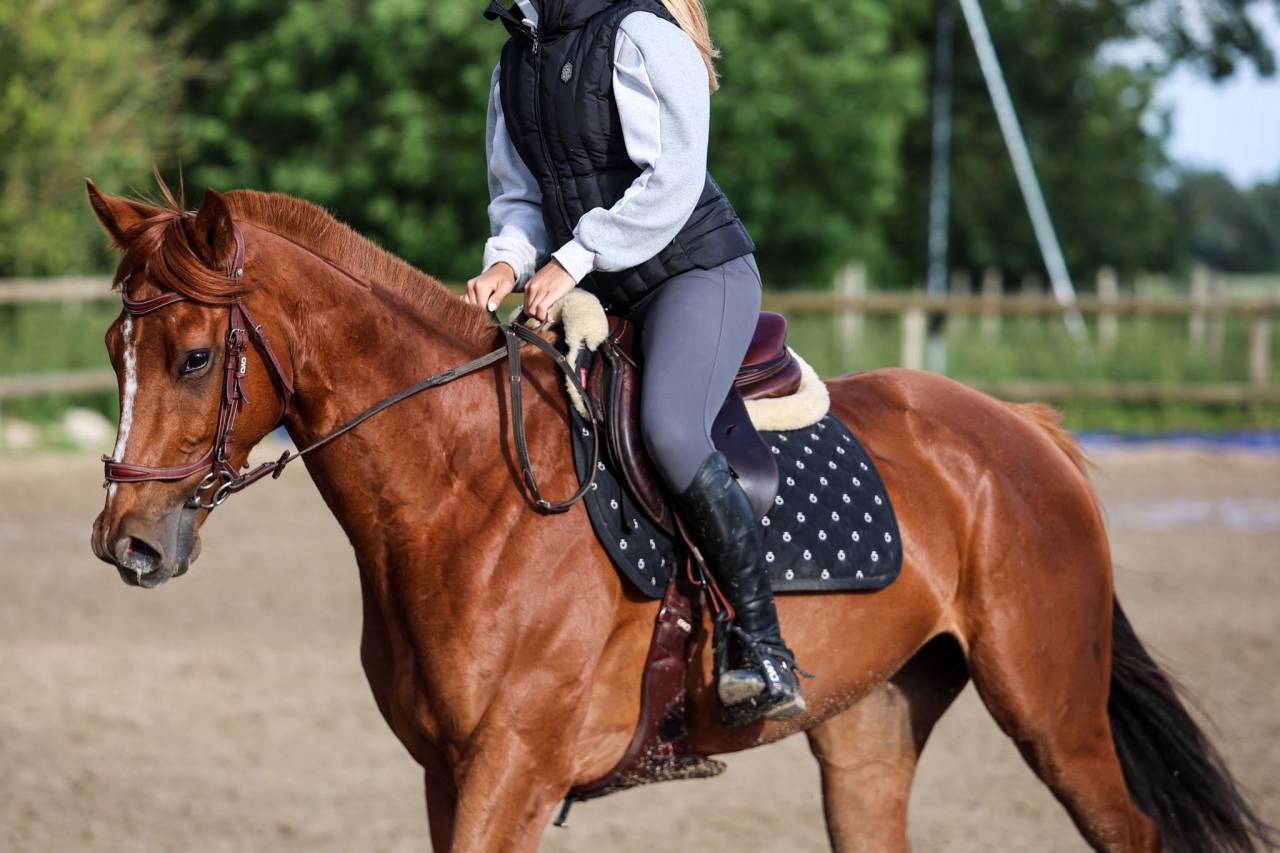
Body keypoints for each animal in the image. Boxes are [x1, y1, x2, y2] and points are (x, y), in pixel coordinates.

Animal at [86, 180, 1270, 853]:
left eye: (195, 357)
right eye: (114, 349)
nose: (126, 543)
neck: (467, 494)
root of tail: (1021, 428)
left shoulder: (512, 770)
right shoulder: (445, 773)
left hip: (1050, 710)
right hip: (871, 721)